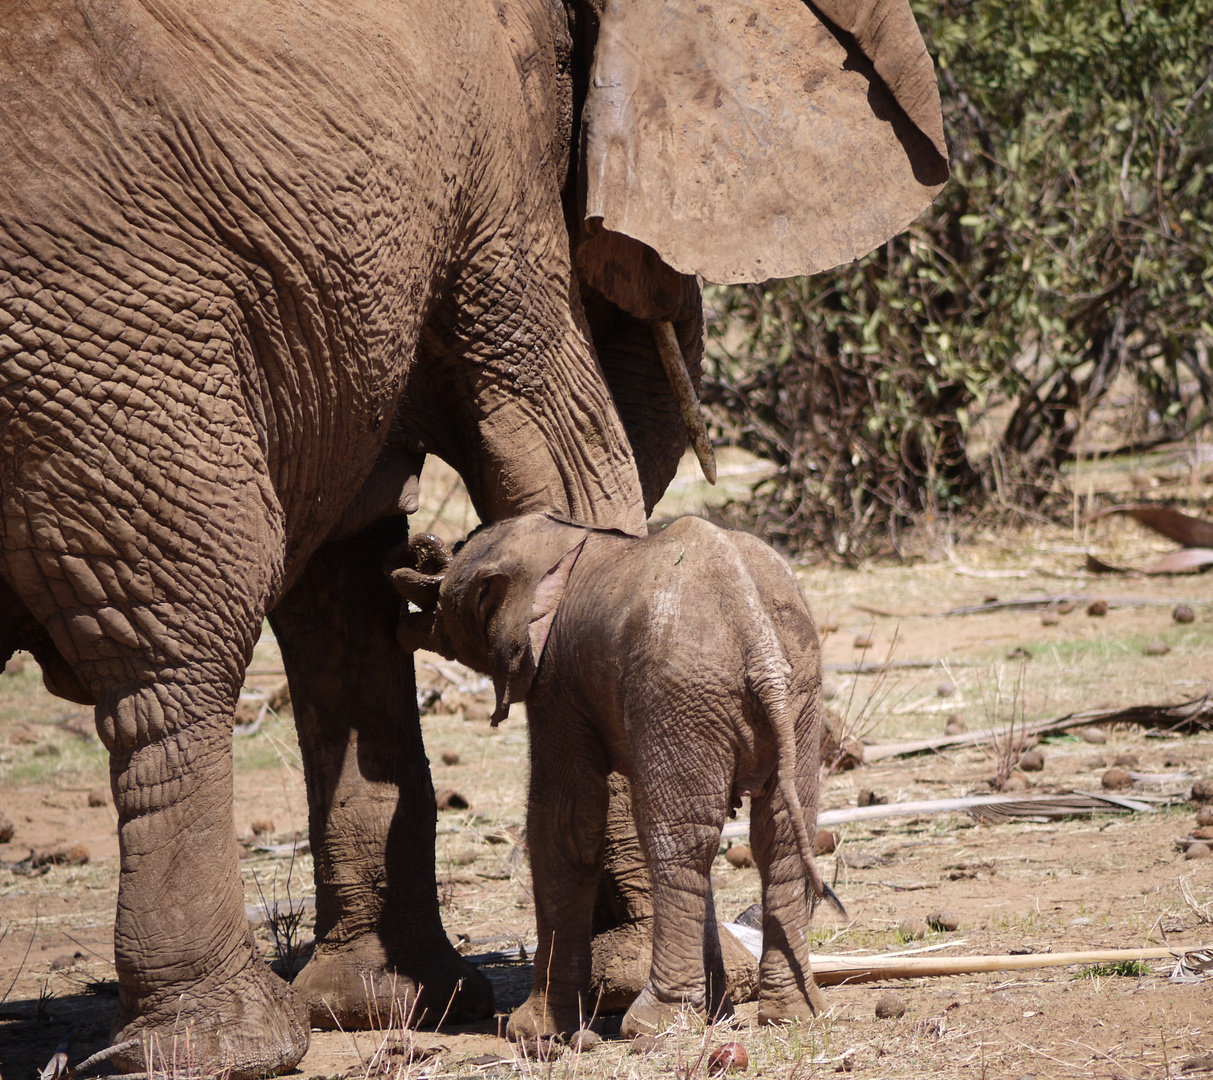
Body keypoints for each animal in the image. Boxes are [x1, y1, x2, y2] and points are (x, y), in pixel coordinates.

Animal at [395, 516, 834, 1038]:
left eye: (450, 599)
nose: (416, 548)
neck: (558, 537)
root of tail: (759, 639)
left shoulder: (554, 681)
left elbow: (563, 821)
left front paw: (533, 1031)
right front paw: (718, 1016)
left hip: (681, 693)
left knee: (677, 838)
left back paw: (649, 1026)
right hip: (799, 690)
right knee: (780, 833)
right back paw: (794, 1014)